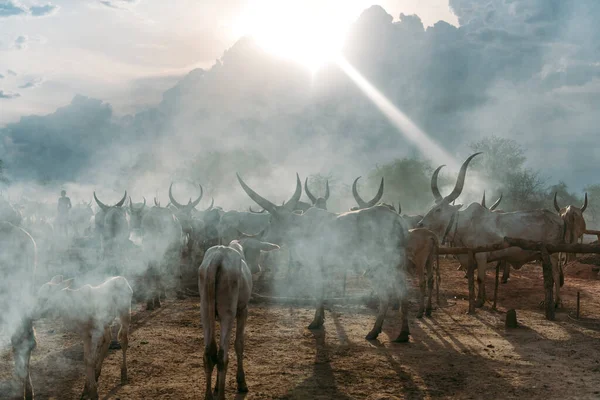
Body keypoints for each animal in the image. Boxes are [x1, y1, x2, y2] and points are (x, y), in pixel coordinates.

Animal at [199, 239, 278, 398]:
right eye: (258, 250)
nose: (257, 268)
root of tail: (218, 256)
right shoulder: (243, 309)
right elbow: (239, 344)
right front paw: (241, 383)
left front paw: (216, 386)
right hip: (228, 313)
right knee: (222, 356)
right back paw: (222, 396)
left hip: (205, 311)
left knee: (209, 354)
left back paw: (209, 395)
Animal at [236, 172, 412, 340]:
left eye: (271, 221)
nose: (266, 237)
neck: (301, 226)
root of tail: (397, 220)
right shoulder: (325, 267)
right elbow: (323, 290)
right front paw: (321, 319)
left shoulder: (315, 265)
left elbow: (318, 291)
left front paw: (315, 321)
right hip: (397, 265)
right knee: (403, 294)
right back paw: (402, 333)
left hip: (377, 267)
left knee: (386, 296)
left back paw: (376, 331)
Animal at [420, 153, 564, 306]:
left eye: (438, 210)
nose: (421, 224)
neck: (467, 224)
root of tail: (557, 218)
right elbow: (477, 278)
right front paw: (482, 298)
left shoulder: (481, 256)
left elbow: (480, 279)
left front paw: (479, 301)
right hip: (544, 256)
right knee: (549, 277)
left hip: (553, 254)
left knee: (555, 275)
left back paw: (556, 302)